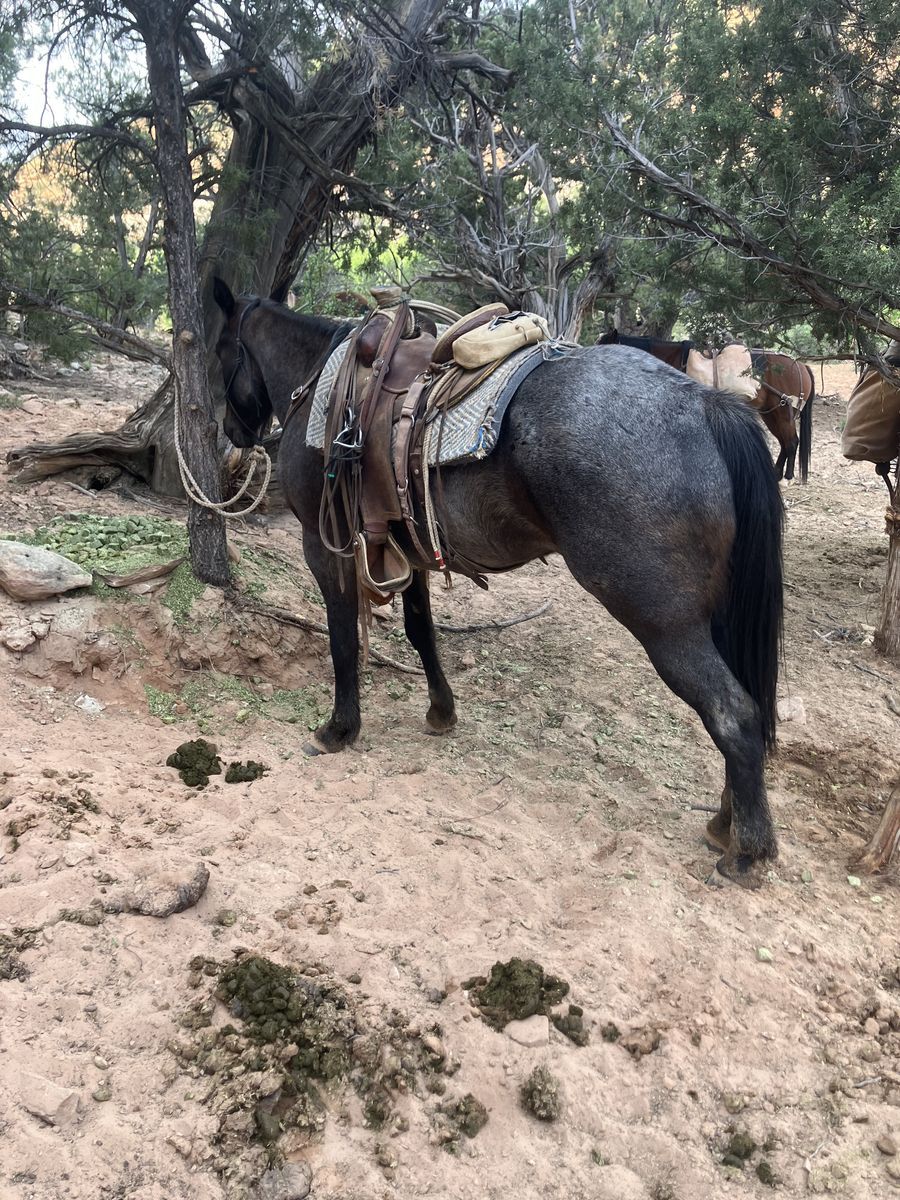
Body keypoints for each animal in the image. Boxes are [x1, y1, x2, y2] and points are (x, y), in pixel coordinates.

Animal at [213, 279, 784, 887]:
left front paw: (339, 729)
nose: (233, 432)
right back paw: (726, 824)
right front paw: (441, 712)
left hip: (664, 623)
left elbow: (342, 640)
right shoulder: (406, 546)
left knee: (733, 713)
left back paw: (747, 852)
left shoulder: (326, 547)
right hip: (714, 618)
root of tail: (706, 406)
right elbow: (421, 632)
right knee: (745, 706)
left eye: (221, 351)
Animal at [596, 331, 815, 483]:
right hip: (770, 414)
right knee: (785, 443)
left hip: (783, 412)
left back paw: (786, 477)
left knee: (791, 442)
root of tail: (801, 366)